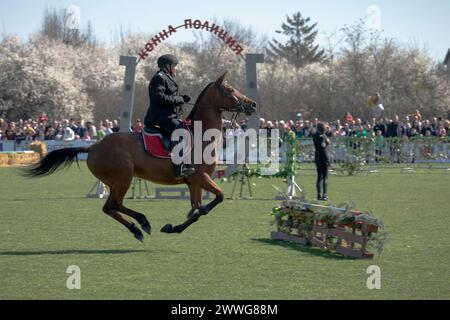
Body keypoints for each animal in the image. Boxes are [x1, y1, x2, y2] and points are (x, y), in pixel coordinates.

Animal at [25, 72, 256, 241]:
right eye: (230, 90)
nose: (252, 104)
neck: (201, 134)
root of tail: (93, 147)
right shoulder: (200, 177)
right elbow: (217, 198)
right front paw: (180, 222)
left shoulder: (194, 182)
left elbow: (196, 210)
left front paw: (174, 227)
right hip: (123, 178)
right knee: (115, 204)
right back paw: (142, 222)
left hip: (115, 182)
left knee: (109, 207)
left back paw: (136, 229)